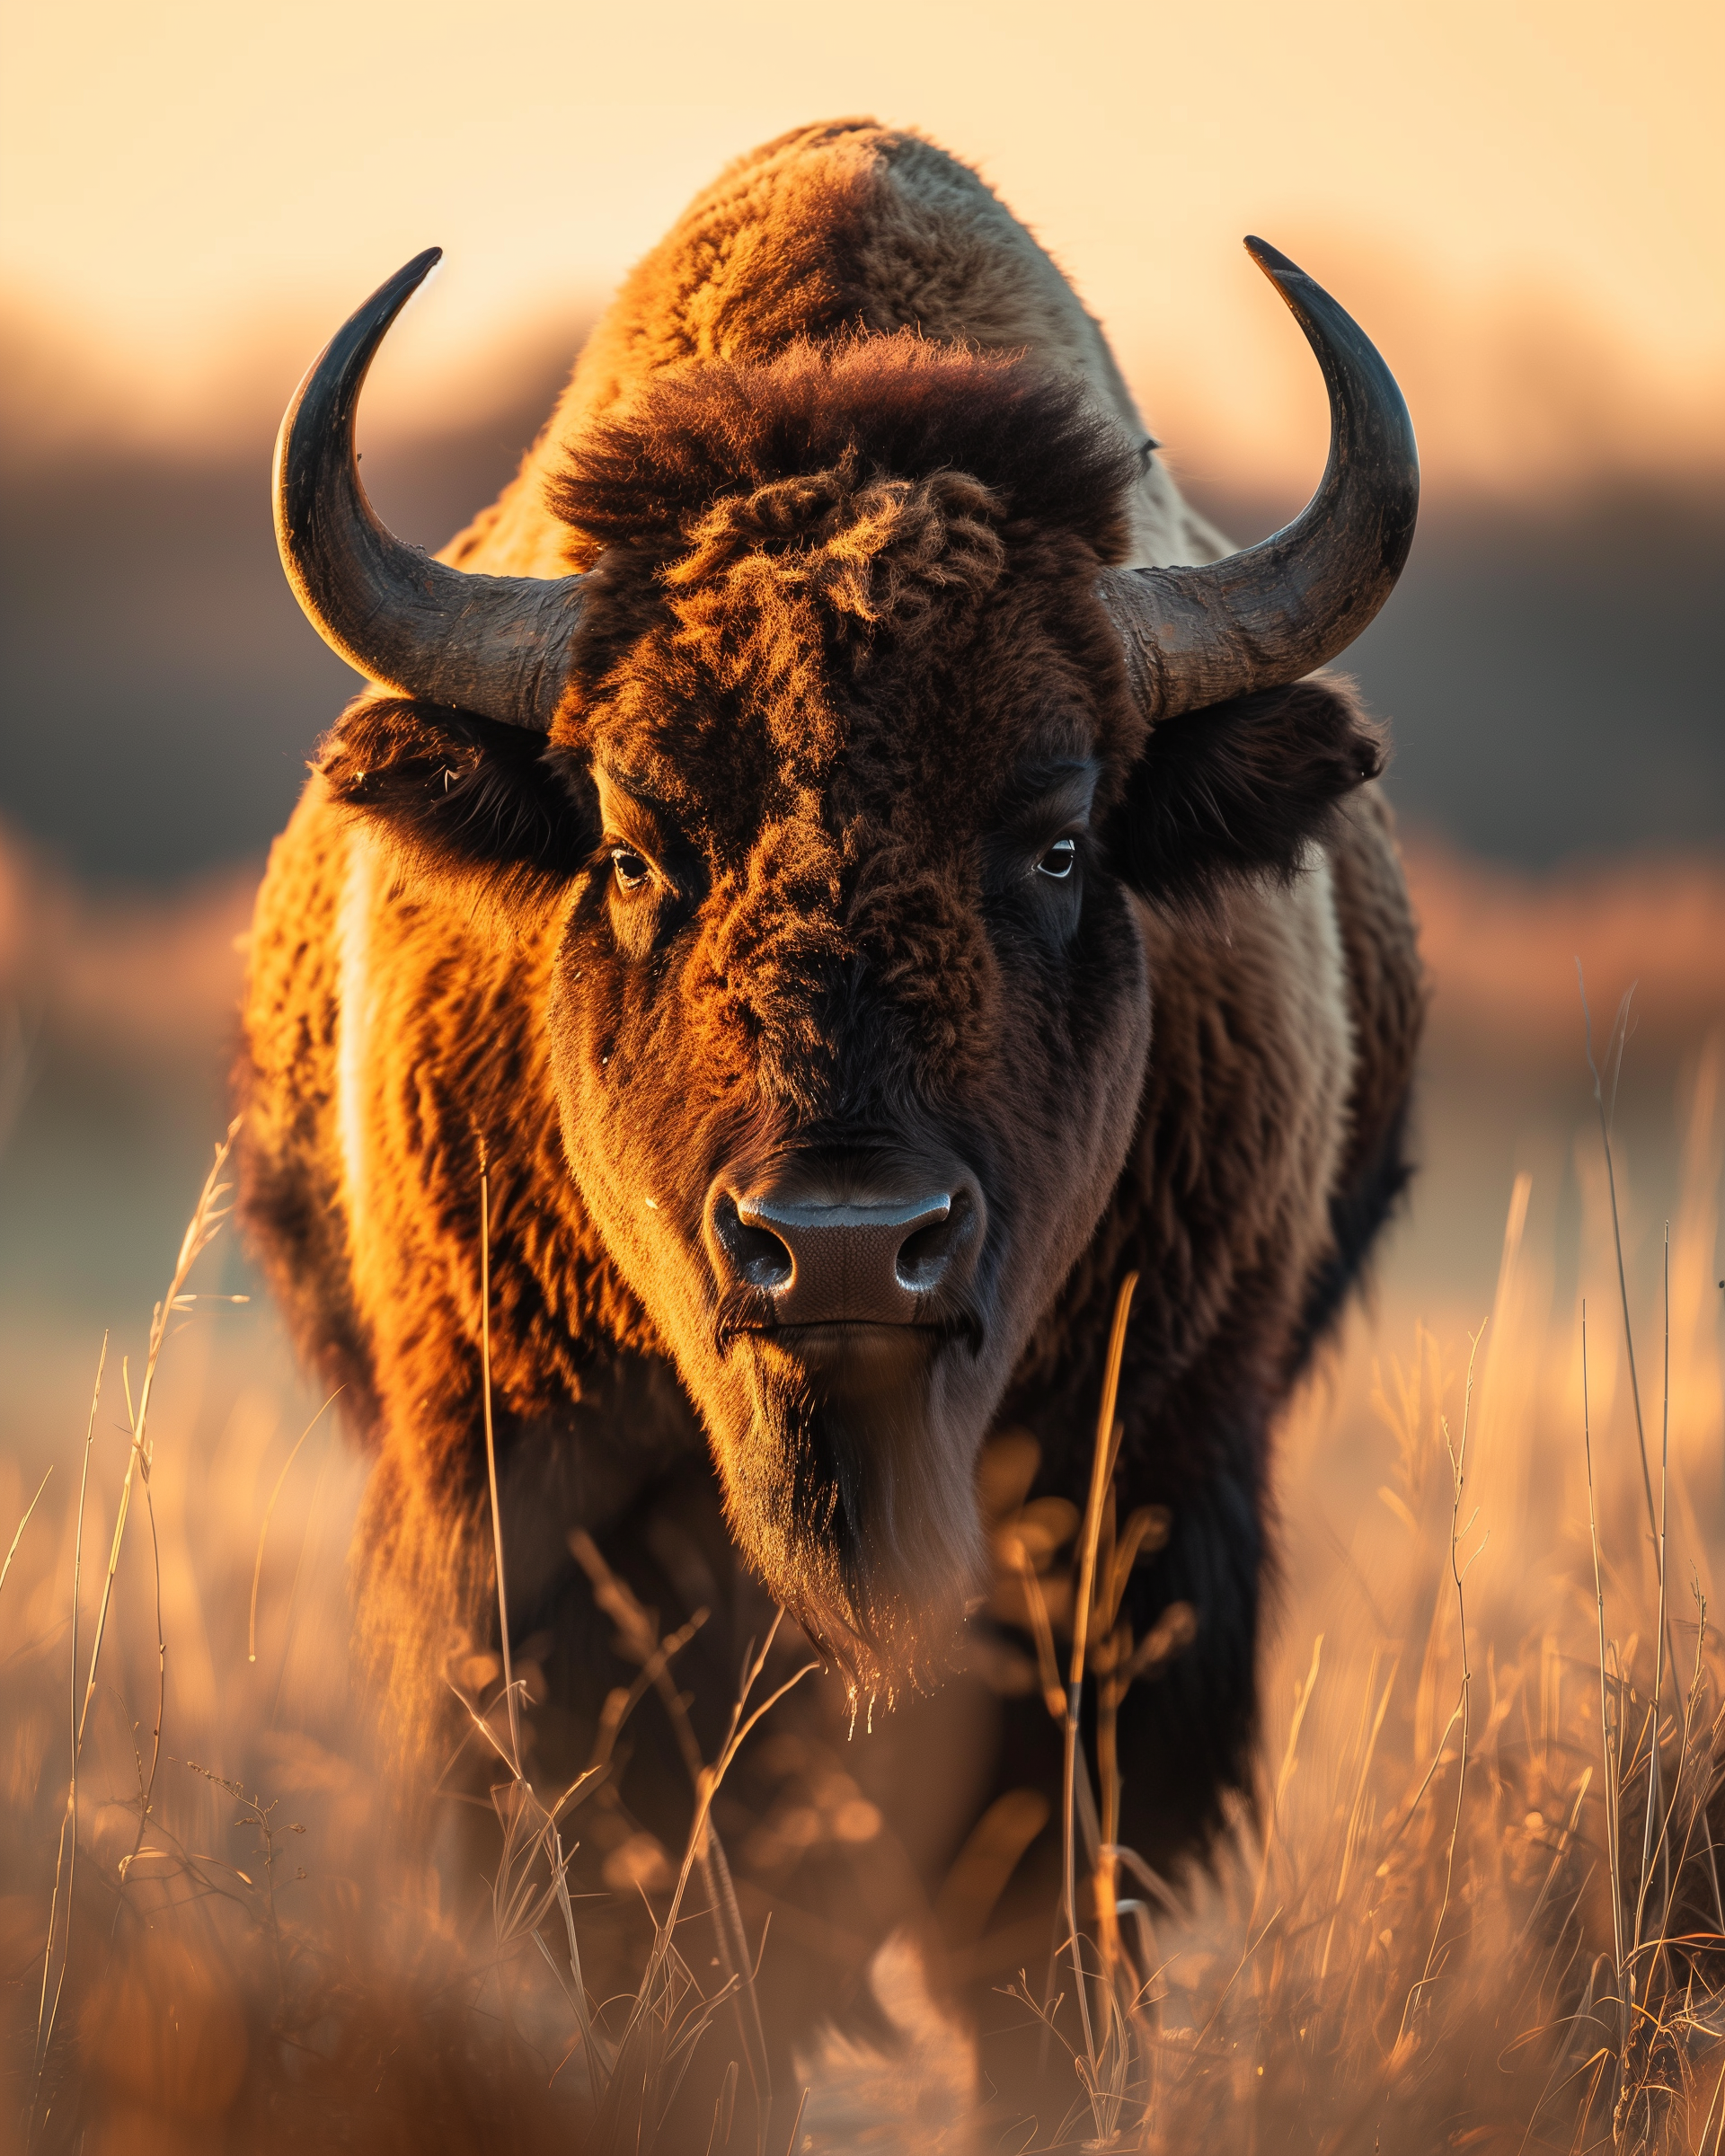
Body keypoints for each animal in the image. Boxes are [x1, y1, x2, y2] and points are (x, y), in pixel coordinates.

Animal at [241, 116, 1422, 2096]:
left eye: (1061, 837)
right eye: (634, 846)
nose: (851, 1249)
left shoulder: (1133, 1545)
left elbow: (1033, 1955)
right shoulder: (551, 1573)